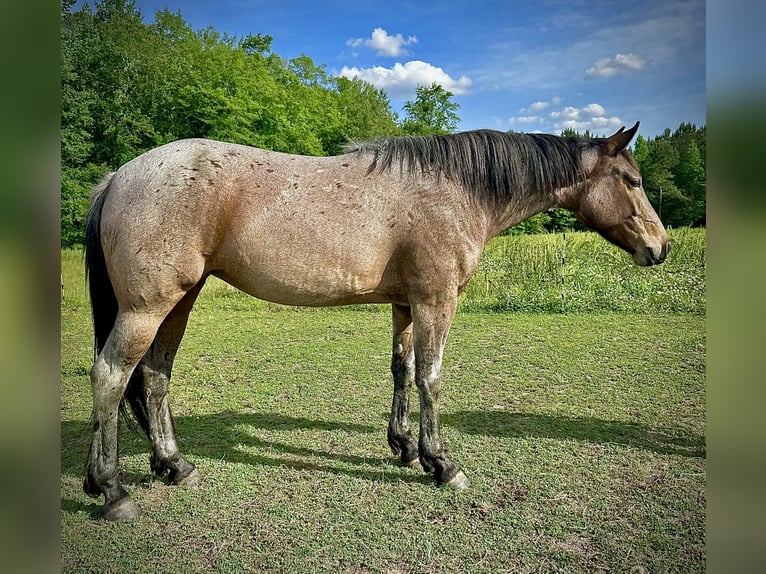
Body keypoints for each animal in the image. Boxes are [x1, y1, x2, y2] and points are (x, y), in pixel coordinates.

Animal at [82, 122, 670, 520]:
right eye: (632, 180)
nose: (660, 248)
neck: (456, 190)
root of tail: (119, 176)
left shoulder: (406, 305)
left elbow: (402, 370)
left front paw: (404, 447)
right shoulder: (436, 302)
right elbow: (431, 377)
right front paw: (442, 463)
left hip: (179, 302)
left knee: (154, 378)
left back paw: (173, 465)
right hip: (146, 308)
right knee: (111, 378)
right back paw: (111, 490)